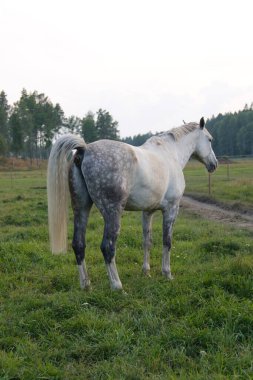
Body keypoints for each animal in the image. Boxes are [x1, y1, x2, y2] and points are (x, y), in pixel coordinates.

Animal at [47, 117, 217, 290]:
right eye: (209, 139)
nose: (214, 164)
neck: (170, 154)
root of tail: (85, 149)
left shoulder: (148, 211)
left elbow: (147, 241)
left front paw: (146, 271)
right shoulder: (171, 209)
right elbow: (167, 241)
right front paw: (167, 273)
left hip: (81, 208)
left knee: (78, 244)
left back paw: (86, 285)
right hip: (112, 213)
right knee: (107, 247)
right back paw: (117, 286)